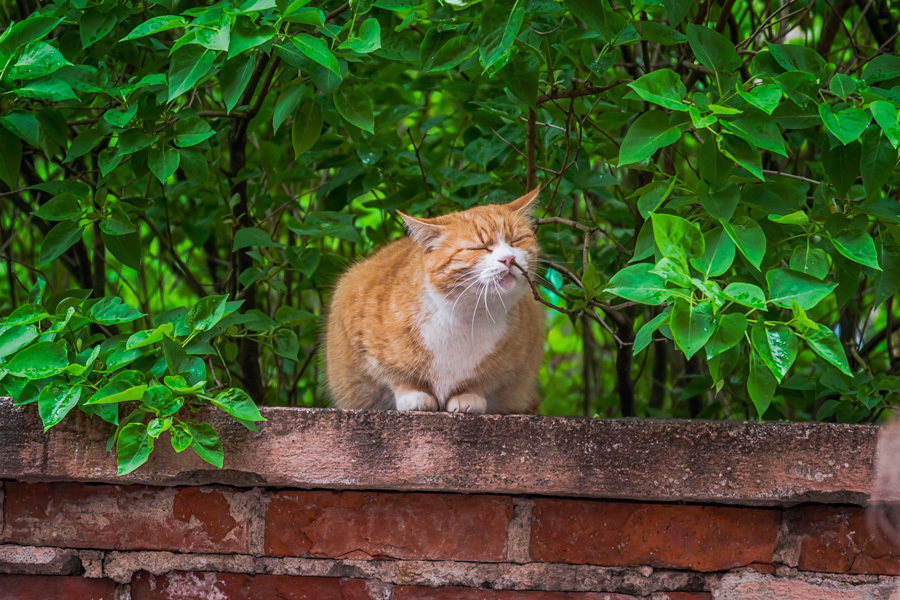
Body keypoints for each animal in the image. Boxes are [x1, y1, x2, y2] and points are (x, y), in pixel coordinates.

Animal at [326, 188, 544, 412]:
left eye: (516, 240)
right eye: (479, 248)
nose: (509, 258)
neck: (468, 317)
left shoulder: (515, 361)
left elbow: (482, 381)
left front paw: (469, 396)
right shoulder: (365, 340)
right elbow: (396, 376)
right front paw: (414, 396)